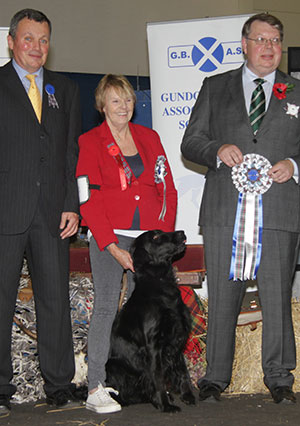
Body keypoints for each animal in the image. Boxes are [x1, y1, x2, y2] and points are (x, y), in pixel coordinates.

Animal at [106, 230, 197, 412]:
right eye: (155, 237)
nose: (182, 232)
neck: (160, 284)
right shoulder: (153, 345)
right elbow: (158, 377)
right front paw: (165, 405)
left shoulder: (176, 341)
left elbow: (183, 371)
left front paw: (187, 395)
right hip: (113, 366)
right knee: (124, 393)